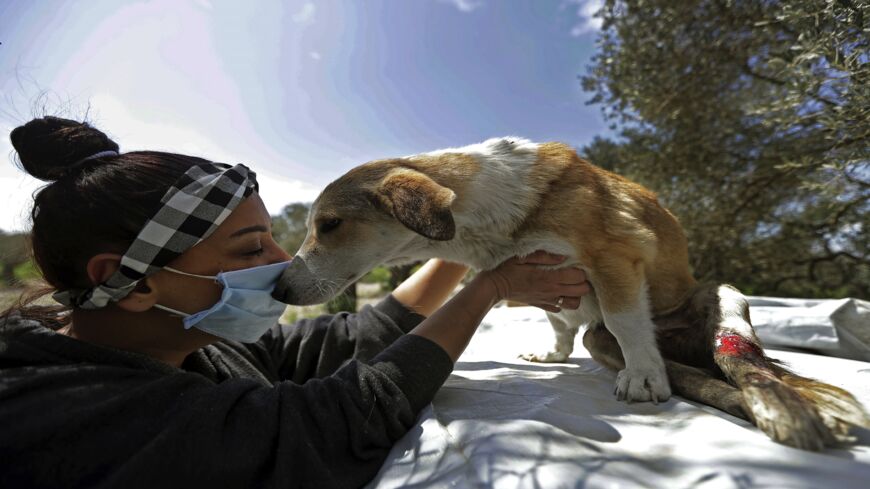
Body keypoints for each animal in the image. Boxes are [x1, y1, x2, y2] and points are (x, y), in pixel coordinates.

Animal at [274, 136, 870, 450]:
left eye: (329, 224)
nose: (278, 286)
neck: (488, 223)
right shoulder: (548, 288)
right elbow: (560, 324)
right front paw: (553, 355)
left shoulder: (614, 257)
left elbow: (629, 319)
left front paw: (643, 376)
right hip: (599, 343)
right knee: (693, 377)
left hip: (723, 299)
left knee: (741, 361)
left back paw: (778, 403)